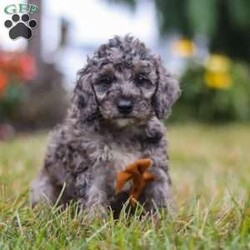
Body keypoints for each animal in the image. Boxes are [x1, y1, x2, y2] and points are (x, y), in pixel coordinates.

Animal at [30, 34, 180, 216]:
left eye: (141, 79)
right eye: (107, 80)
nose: (124, 105)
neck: (123, 131)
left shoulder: (155, 165)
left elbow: (160, 195)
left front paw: (165, 220)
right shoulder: (93, 168)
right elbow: (94, 197)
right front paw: (95, 221)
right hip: (44, 187)